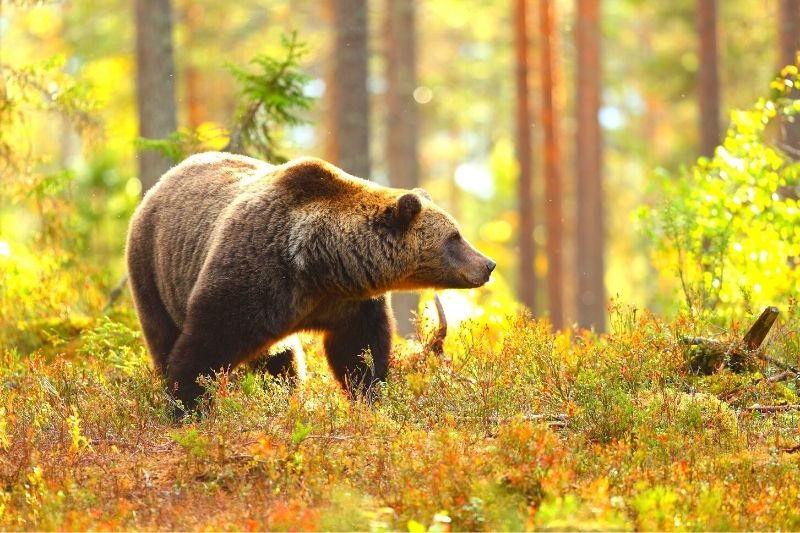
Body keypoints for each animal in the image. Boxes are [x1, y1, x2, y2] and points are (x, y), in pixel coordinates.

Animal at [125, 152, 495, 413]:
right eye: (454, 237)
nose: (488, 264)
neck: (318, 265)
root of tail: (161, 182)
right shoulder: (253, 275)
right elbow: (206, 341)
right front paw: (188, 404)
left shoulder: (348, 303)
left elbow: (357, 352)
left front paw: (369, 396)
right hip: (152, 270)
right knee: (162, 334)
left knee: (281, 360)